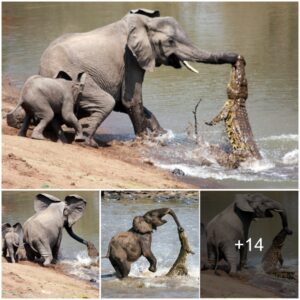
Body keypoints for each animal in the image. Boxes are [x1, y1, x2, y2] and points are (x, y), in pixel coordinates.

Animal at [38, 8, 238, 146]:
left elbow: (125, 103)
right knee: (106, 101)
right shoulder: (130, 58)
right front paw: (145, 140)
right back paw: (88, 142)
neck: (146, 23)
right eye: (170, 41)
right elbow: (131, 100)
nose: (236, 57)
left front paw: (161, 135)